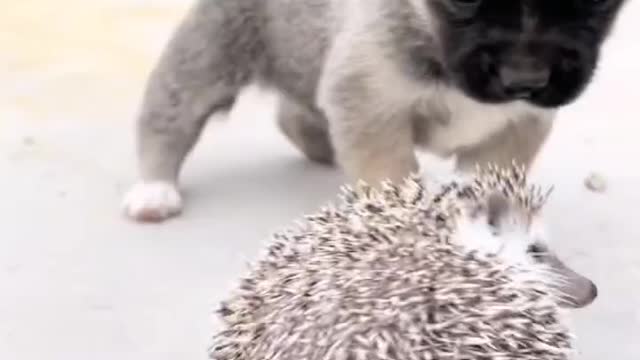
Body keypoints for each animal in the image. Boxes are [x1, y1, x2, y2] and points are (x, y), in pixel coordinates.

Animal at [122, 0, 628, 221]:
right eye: (461, 1)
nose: (525, 80)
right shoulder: (369, 102)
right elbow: (393, 177)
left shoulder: (519, 127)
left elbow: (489, 176)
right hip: (209, 52)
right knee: (168, 116)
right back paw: (154, 189)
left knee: (295, 115)